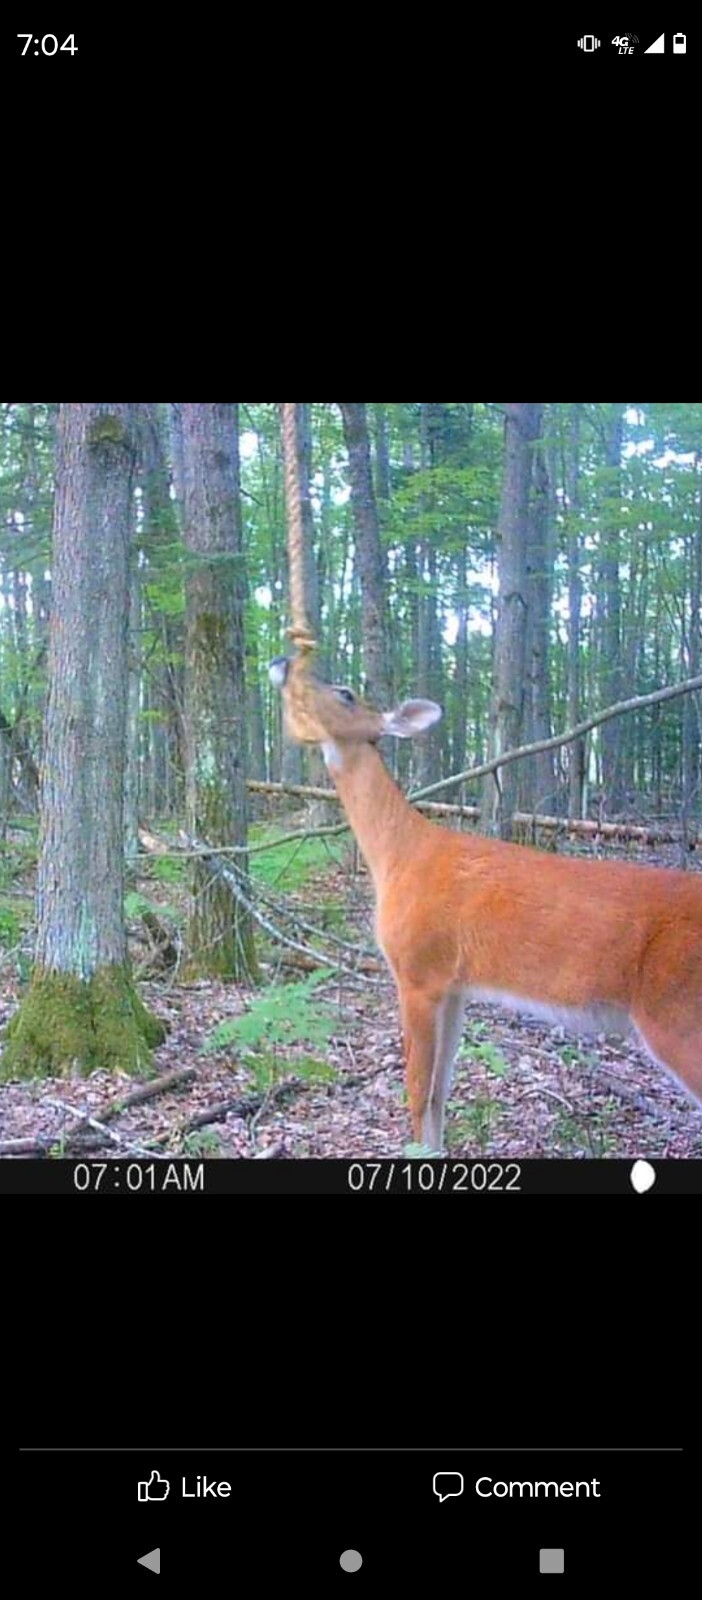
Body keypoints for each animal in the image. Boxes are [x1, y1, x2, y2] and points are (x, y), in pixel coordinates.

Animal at [270, 655, 702, 1152]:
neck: (399, 856)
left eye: (345, 692)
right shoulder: (454, 985)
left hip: (677, 1012)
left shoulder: (417, 969)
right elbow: (439, 1090)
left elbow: (416, 1089)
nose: (281, 661)